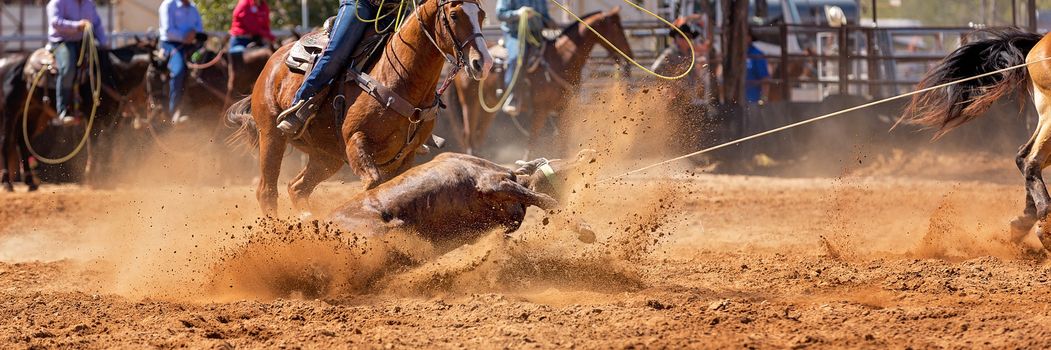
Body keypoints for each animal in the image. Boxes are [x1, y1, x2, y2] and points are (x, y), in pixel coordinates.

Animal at [228, 0, 489, 215]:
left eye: (482, 14)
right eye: (454, 15)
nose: (483, 63)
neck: (399, 75)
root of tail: (272, 62)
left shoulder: (406, 155)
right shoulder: (356, 140)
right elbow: (373, 183)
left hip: (326, 156)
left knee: (297, 188)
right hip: (271, 135)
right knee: (267, 192)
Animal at [451, 6, 630, 156]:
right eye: (617, 27)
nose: (629, 55)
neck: (560, 60)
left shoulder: (564, 110)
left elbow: (562, 145)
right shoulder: (540, 110)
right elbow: (532, 144)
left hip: (488, 108)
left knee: (479, 136)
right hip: (469, 103)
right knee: (469, 136)